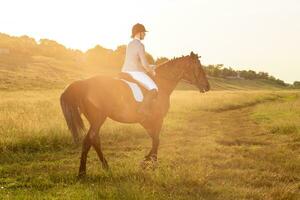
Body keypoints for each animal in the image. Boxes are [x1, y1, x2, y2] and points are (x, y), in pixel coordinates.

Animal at [59, 51, 210, 177]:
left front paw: (147, 161)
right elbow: (157, 140)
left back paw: (105, 167)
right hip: (98, 118)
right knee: (89, 140)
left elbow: (154, 139)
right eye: (198, 67)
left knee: (94, 140)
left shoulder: (146, 121)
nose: (207, 86)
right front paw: (151, 163)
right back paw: (82, 173)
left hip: (96, 120)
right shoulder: (158, 119)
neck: (161, 84)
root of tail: (83, 83)